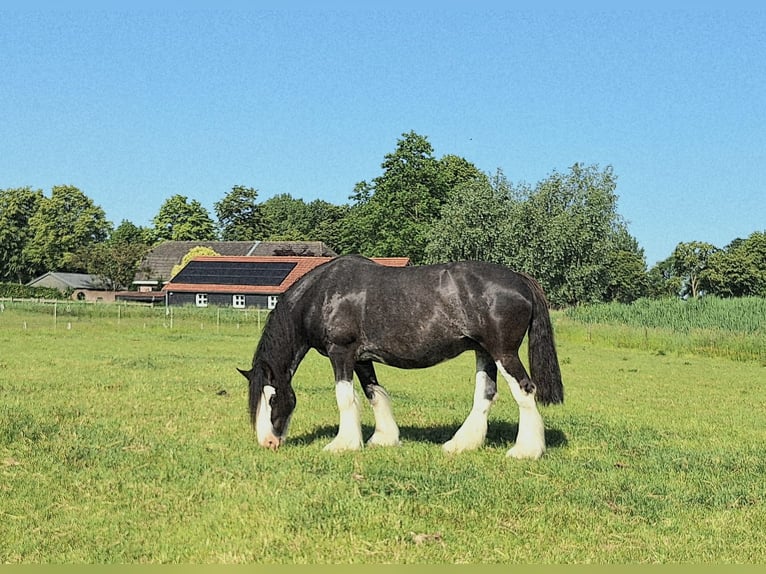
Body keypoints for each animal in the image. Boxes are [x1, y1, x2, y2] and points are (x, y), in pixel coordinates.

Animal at [238, 254, 563, 459]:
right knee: (485, 395)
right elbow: (373, 393)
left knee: (525, 390)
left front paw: (343, 444)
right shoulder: (361, 358)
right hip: (484, 352)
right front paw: (383, 439)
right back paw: (461, 444)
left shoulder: (341, 352)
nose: (268, 442)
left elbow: (345, 397)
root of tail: (519, 279)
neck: (325, 293)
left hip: (502, 352)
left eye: (271, 398)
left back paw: (525, 451)